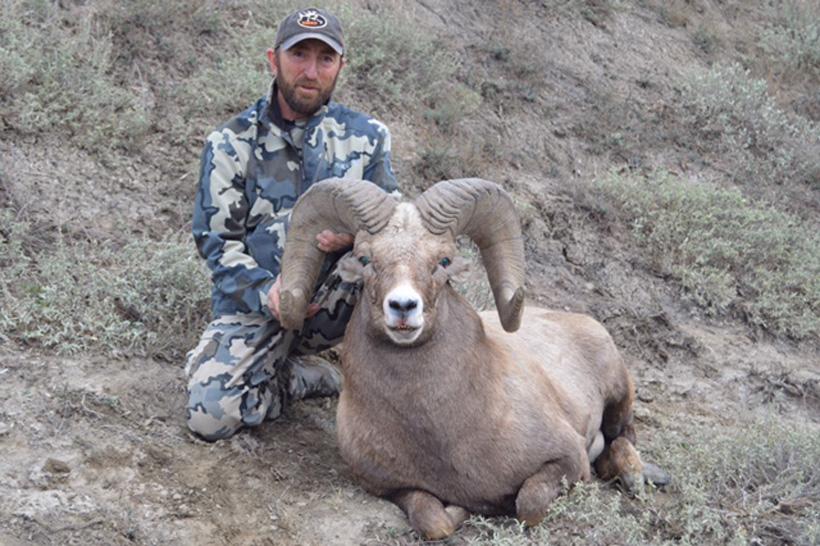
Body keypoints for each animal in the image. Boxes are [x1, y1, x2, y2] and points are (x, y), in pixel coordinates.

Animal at [278, 178, 657, 540]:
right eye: (365, 259)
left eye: (443, 261)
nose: (403, 307)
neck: (443, 433)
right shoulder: (393, 489)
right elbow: (434, 522)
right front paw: (461, 512)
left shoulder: (567, 458)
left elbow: (529, 504)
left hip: (619, 393)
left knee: (623, 435)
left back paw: (633, 477)